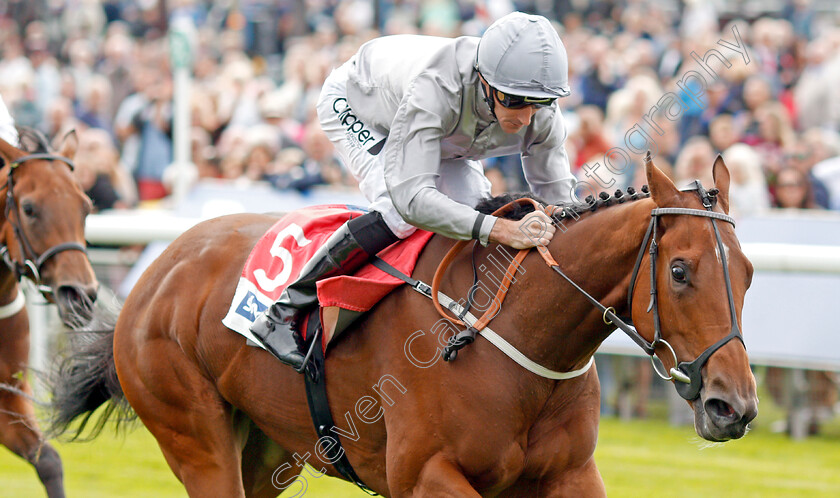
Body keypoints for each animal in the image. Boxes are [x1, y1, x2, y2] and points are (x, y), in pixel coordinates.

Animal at [47, 155, 756, 494]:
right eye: (681, 271)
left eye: (748, 273)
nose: (735, 406)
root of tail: (156, 270)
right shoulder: (425, 475)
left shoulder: (571, 476)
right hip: (194, 435)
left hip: (270, 447)